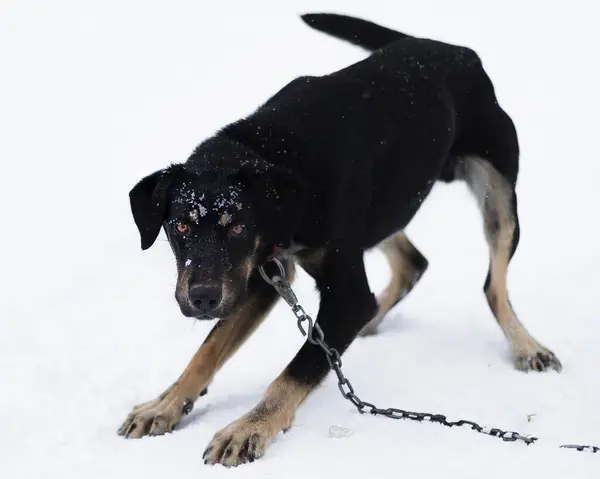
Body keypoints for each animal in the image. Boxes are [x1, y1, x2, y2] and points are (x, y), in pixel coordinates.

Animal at [118, 12, 564, 468]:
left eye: (238, 227)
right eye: (180, 227)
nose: (203, 298)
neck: (277, 160)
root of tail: (458, 52)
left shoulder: (336, 292)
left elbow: (297, 368)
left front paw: (249, 428)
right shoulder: (263, 274)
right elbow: (208, 350)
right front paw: (166, 403)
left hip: (498, 194)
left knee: (493, 285)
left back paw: (526, 346)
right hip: (388, 205)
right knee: (412, 262)